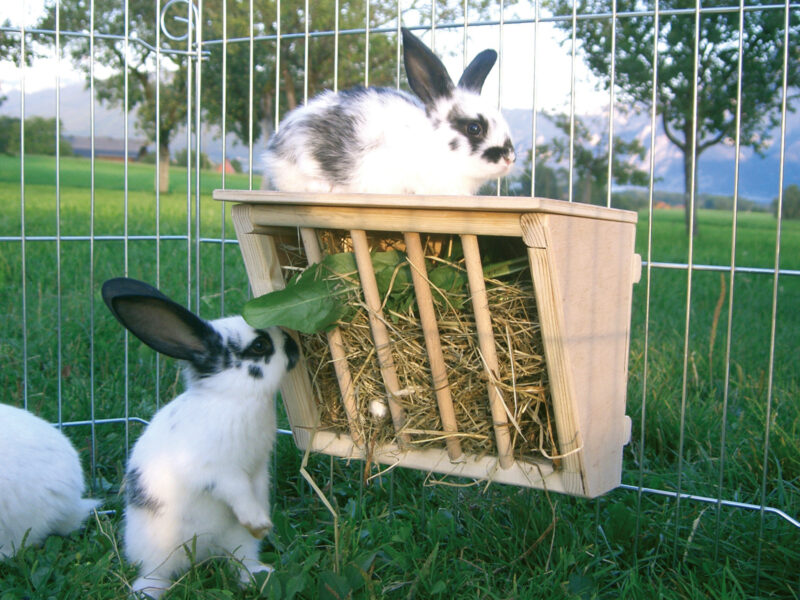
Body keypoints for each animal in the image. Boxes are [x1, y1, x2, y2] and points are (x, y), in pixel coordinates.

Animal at [101, 278, 300, 596]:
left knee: (240, 561)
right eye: (260, 345)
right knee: (155, 573)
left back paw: (260, 575)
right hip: (158, 552)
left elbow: (256, 490)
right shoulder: (217, 471)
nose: (295, 346)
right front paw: (259, 522)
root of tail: (204, 553)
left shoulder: (258, 468)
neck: (233, 397)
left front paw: (263, 523)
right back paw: (146, 592)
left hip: (237, 541)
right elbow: (238, 492)